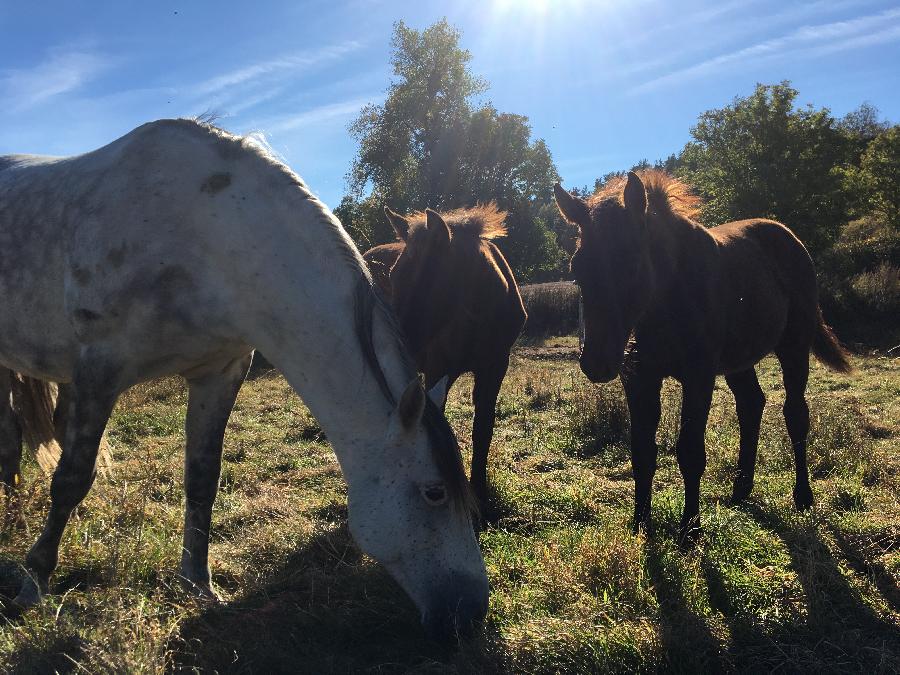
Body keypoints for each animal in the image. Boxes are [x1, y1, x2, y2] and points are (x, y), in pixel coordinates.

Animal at [0, 119, 488, 640]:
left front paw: (198, 584)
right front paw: (34, 581)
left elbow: (202, 478)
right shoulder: (99, 369)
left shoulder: (218, 373)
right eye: (435, 493)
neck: (205, 239)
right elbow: (71, 479)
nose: (472, 609)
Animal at [362, 207, 528, 512]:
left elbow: (483, 427)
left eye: (426, 277)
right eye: (394, 275)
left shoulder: (495, 366)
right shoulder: (439, 369)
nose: (397, 340)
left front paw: (480, 493)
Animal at [552, 173, 856, 544]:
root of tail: (790, 238)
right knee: (751, 404)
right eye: (577, 269)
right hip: (740, 360)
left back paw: (803, 496)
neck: (669, 297)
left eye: (632, 262)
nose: (597, 362)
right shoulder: (639, 378)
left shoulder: (698, 376)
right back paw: (741, 487)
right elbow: (642, 452)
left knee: (795, 413)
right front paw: (640, 525)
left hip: (793, 346)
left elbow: (690, 452)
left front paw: (690, 529)